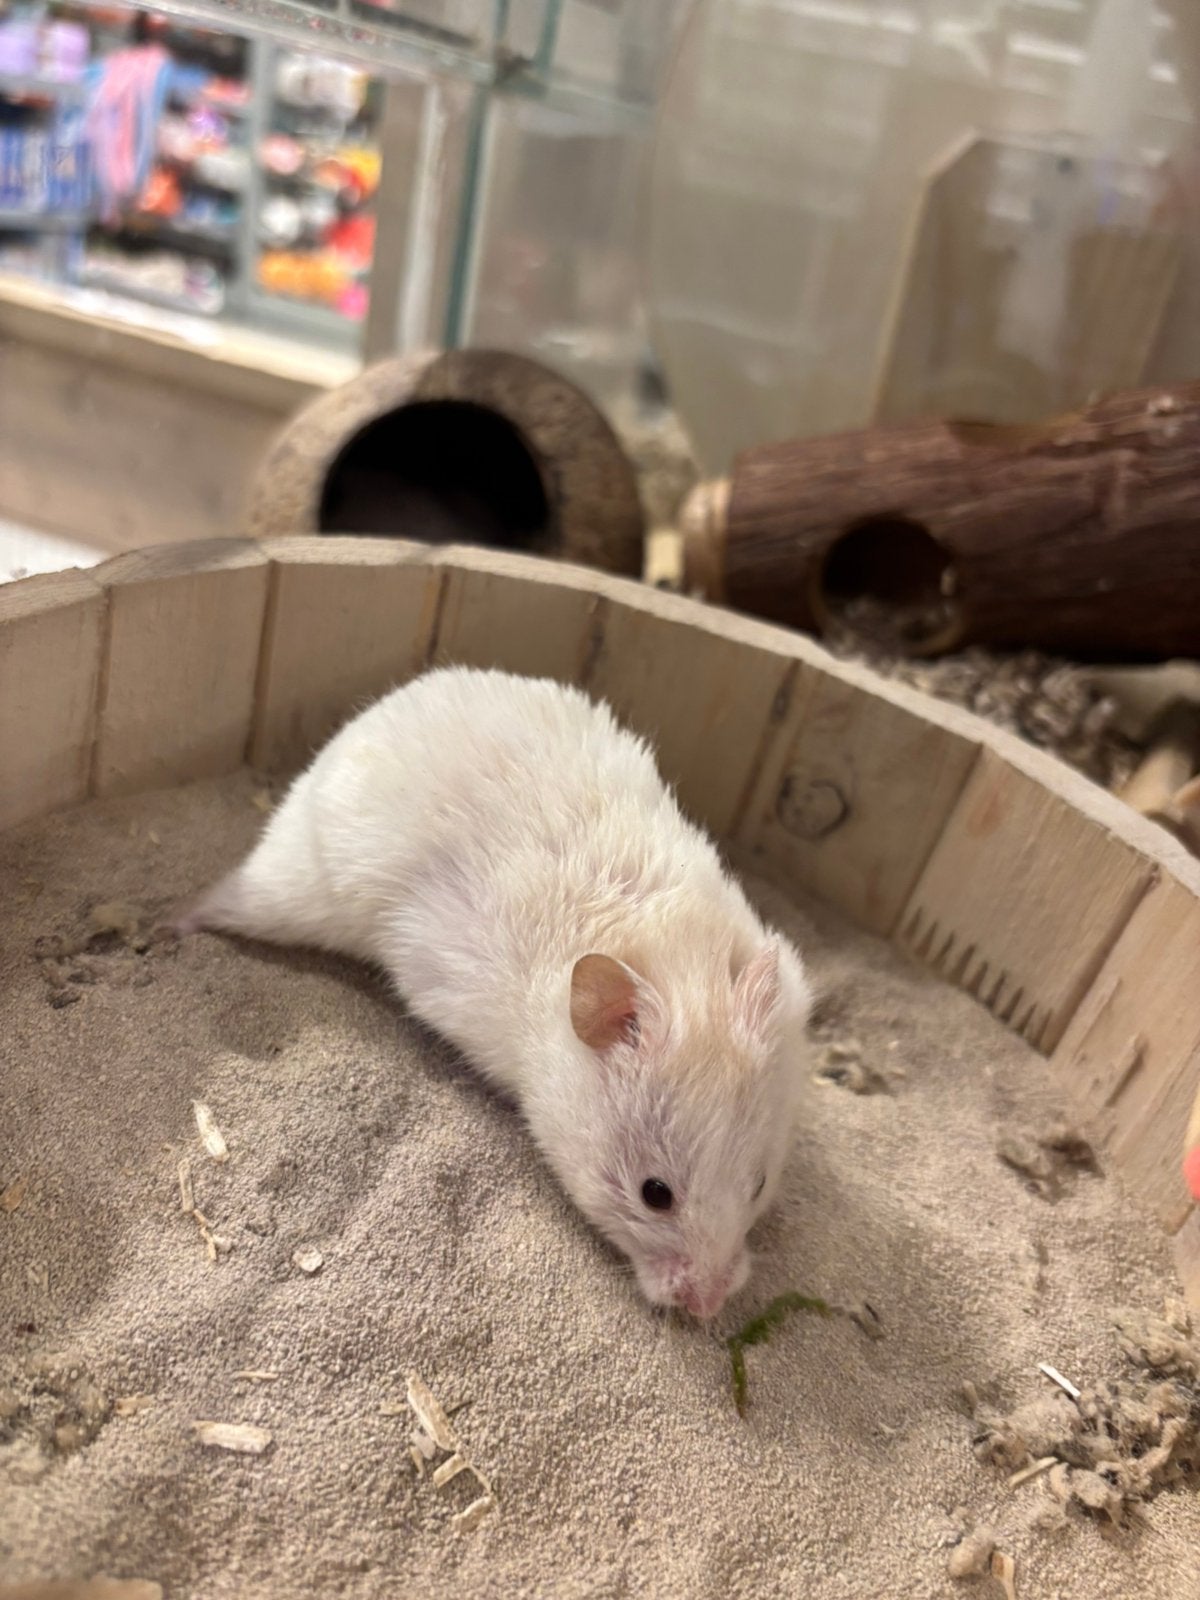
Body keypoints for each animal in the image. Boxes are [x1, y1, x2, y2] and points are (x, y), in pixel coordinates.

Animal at [175, 668, 812, 1319]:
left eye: (759, 1184)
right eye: (654, 1193)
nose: (709, 1305)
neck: (672, 951)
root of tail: (368, 717)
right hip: (292, 891)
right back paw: (172, 925)